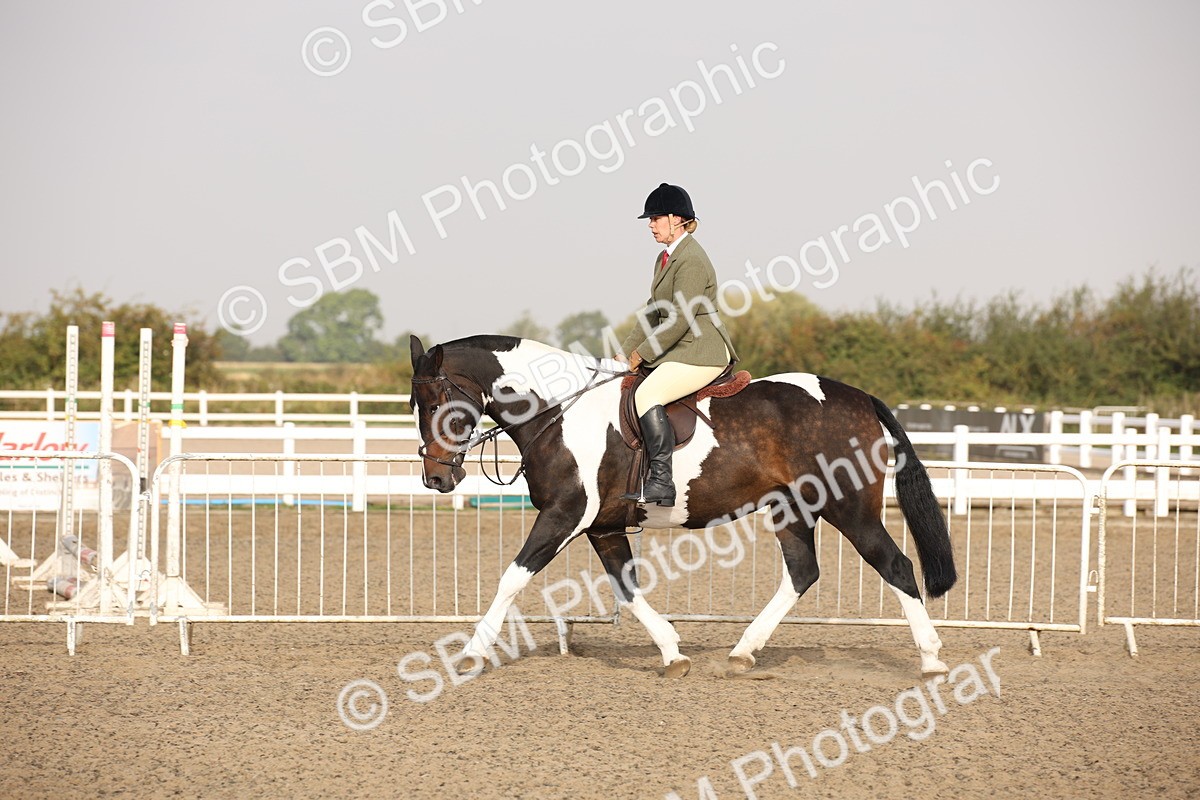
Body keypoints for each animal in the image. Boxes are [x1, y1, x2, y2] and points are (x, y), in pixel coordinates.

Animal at [408, 334, 957, 678]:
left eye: (435, 403)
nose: (437, 478)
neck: (559, 411)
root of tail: (860, 397)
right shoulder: (603, 527)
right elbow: (627, 591)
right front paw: (673, 653)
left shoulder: (564, 516)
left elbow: (513, 577)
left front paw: (472, 653)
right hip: (793, 509)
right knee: (802, 573)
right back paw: (742, 653)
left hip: (850, 508)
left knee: (896, 566)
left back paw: (931, 660)